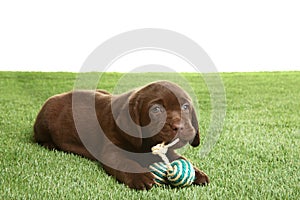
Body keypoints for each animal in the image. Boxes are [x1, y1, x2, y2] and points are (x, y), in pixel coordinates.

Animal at [34, 80, 209, 189]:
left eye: (185, 107)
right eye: (156, 109)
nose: (179, 126)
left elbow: (181, 158)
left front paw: (197, 173)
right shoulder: (111, 151)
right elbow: (124, 162)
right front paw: (141, 177)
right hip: (44, 122)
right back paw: (49, 145)